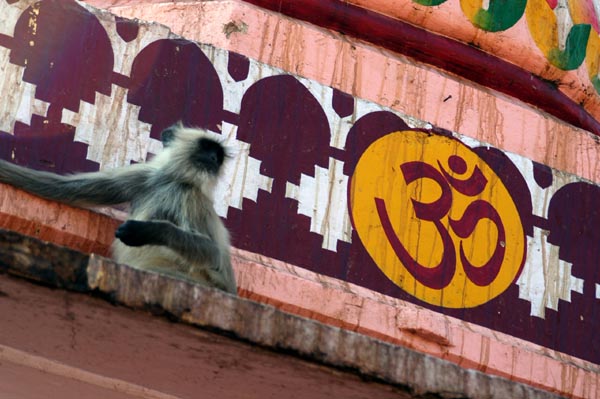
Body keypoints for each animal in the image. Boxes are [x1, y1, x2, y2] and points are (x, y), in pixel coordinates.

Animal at [0, 126, 237, 296]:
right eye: (206, 148)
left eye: (218, 156)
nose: (214, 160)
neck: (173, 181)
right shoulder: (144, 177)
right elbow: (65, 188)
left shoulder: (192, 198)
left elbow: (212, 253)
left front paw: (146, 231)